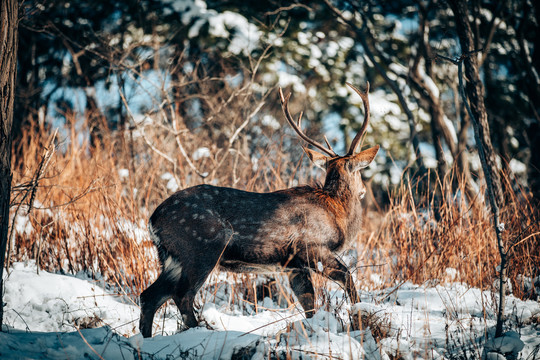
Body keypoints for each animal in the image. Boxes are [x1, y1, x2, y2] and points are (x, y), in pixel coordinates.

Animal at [141, 82, 382, 338]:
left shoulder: (292, 265)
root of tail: (152, 221)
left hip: (171, 257)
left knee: (150, 296)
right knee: (181, 295)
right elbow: (347, 278)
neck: (337, 214)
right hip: (201, 248)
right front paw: (358, 320)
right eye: (360, 171)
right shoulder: (312, 247)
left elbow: (309, 305)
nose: (363, 190)